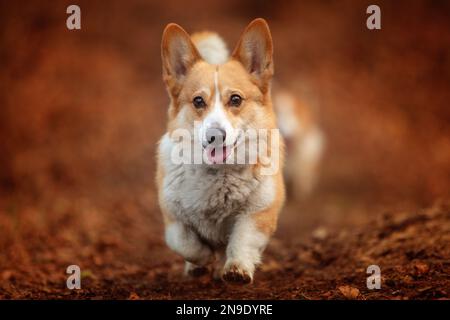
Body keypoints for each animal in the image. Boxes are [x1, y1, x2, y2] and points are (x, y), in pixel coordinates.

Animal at [156, 18, 284, 284]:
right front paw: (202, 259)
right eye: (198, 101)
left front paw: (237, 268)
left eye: (235, 99)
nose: (215, 136)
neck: (218, 174)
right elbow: (182, 242)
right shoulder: (172, 216)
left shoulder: (258, 212)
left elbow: (242, 240)